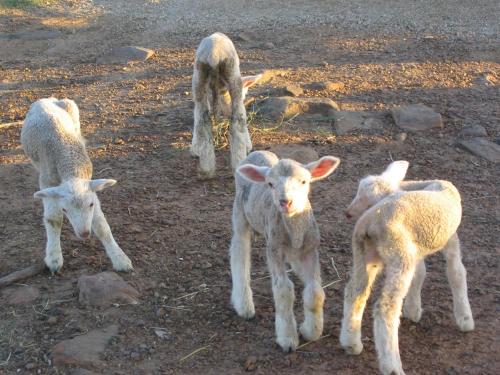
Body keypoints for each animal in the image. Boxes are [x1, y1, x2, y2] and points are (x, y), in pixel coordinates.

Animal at [21, 97, 133, 274]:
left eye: (91, 205)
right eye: (64, 209)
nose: (85, 234)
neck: (70, 168)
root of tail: (45, 99)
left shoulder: (90, 187)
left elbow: (101, 224)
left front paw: (120, 258)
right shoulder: (47, 182)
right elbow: (53, 219)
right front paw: (54, 258)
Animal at [190, 32, 262, 179]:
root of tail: (214, 54)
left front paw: (195, 148)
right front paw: (248, 145)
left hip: (199, 78)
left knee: (201, 121)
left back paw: (206, 170)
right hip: (233, 75)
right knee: (238, 122)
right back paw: (238, 165)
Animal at [229, 150, 340, 352]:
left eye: (304, 181)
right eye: (270, 184)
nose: (285, 202)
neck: (294, 231)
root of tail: (256, 152)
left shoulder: (310, 250)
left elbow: (315, 292)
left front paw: (310, 331)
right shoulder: (274, 251)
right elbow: (284, 290)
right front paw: (288, 338)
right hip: (240, 212)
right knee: (239, 251)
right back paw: (244, 304)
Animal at [340, 161, 472, 375]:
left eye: (367, 199)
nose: (348, 213)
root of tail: (370, 223)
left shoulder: (416, 245)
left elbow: (420, 274)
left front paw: (413, 309)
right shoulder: (450, 239)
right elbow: (456, 272)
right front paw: (465, 318)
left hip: (365, 254)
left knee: (355, 292)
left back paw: (351, 343)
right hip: (399, 254)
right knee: (386, 308)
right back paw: (392, 366)